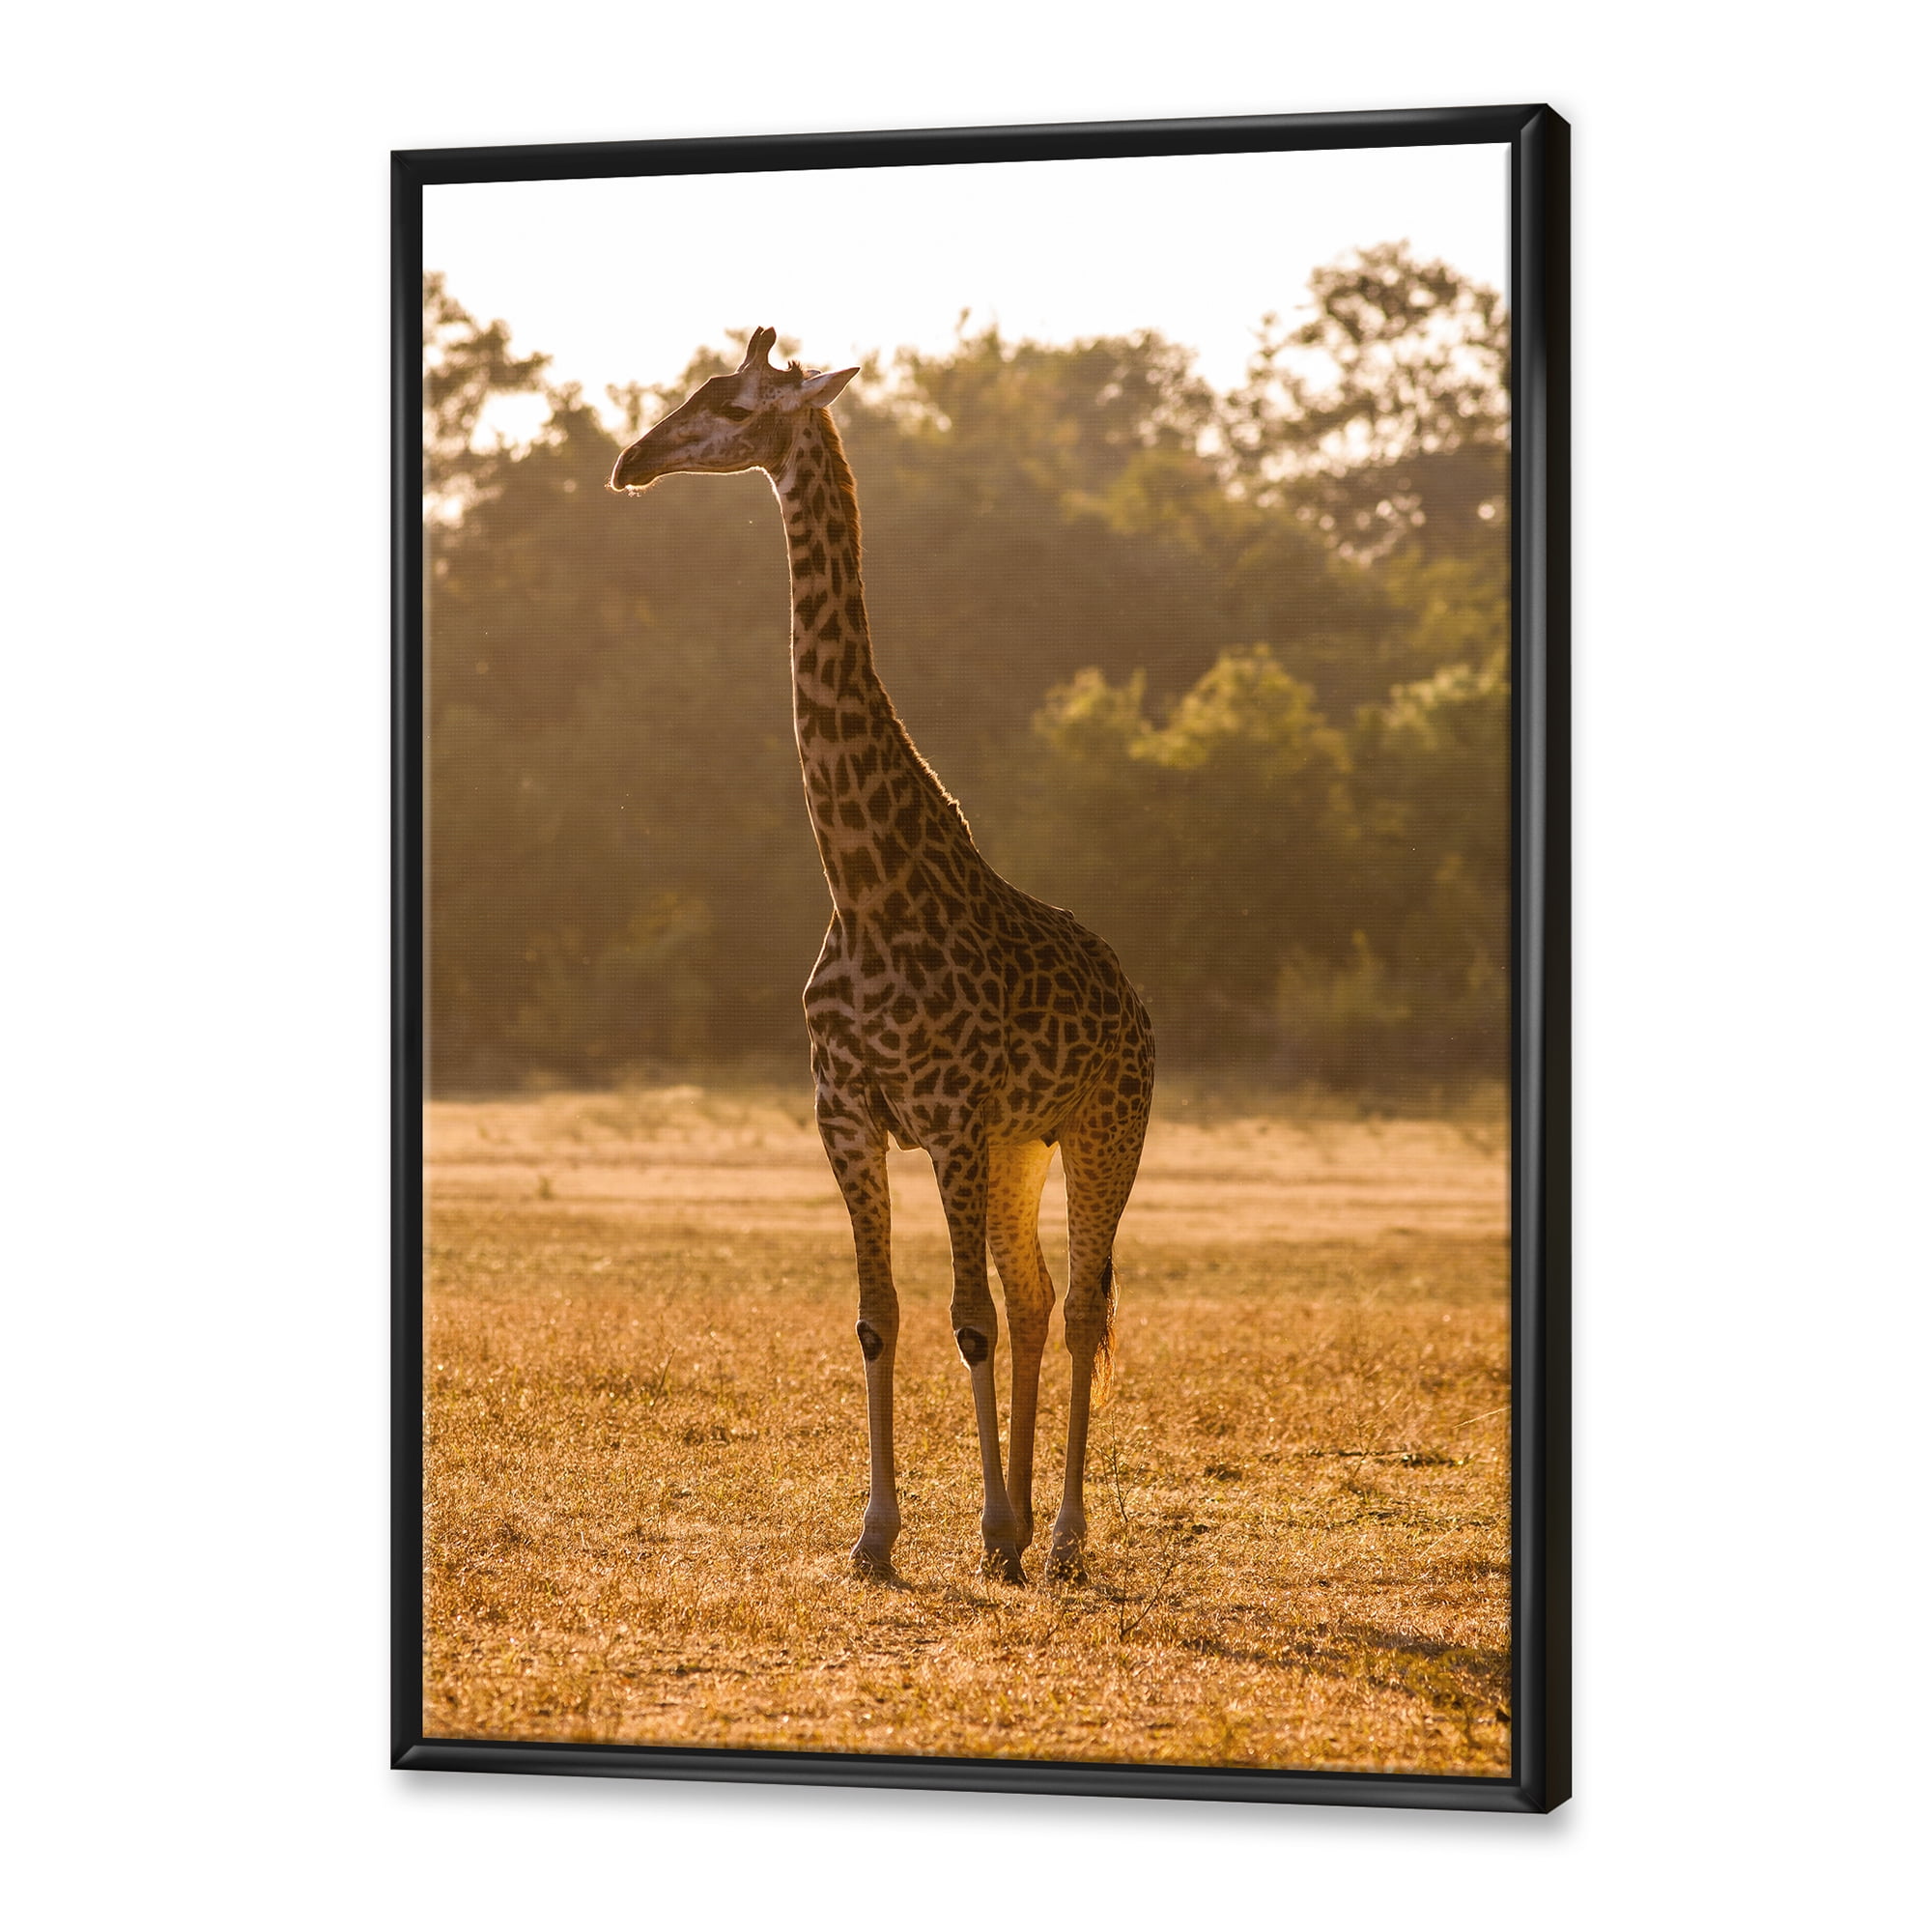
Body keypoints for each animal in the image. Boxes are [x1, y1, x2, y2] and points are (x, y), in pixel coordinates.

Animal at [608, 329, 1154, 1583]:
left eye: (733, 405)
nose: (631, 460)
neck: (860, 884)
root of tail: (1137, 996)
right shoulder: (848, 1115)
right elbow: (883, 1316)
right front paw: (881, 1532)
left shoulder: (945, 1115)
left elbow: (964, 1322)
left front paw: (987, 1525)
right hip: (1019, 1146)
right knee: (1034, 1293)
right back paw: (1020, 1525)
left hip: (1102, 1125)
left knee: (1081, 1303)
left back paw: (1058, 1536)